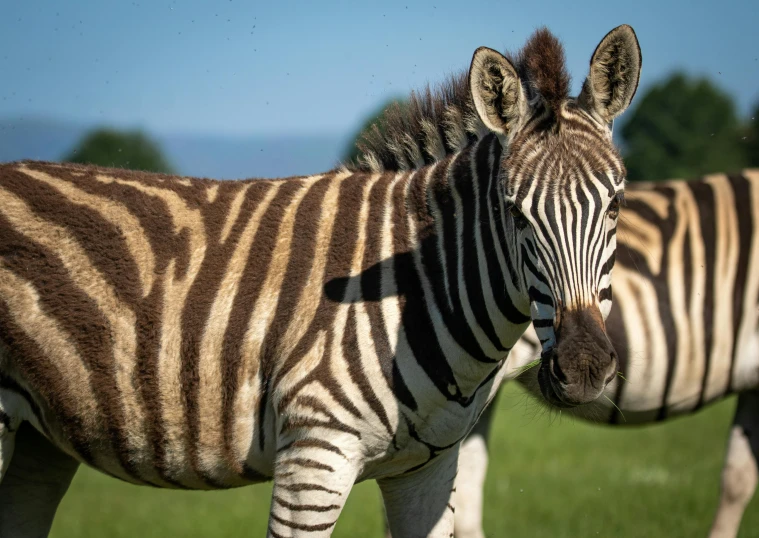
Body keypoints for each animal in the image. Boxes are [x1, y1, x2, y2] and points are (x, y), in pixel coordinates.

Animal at [0, 25, 640, 536]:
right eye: (513, 212)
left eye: (615, 204)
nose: (583, 368)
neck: (419, 289)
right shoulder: (314, 460)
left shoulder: (429, 470)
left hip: (41, 436)